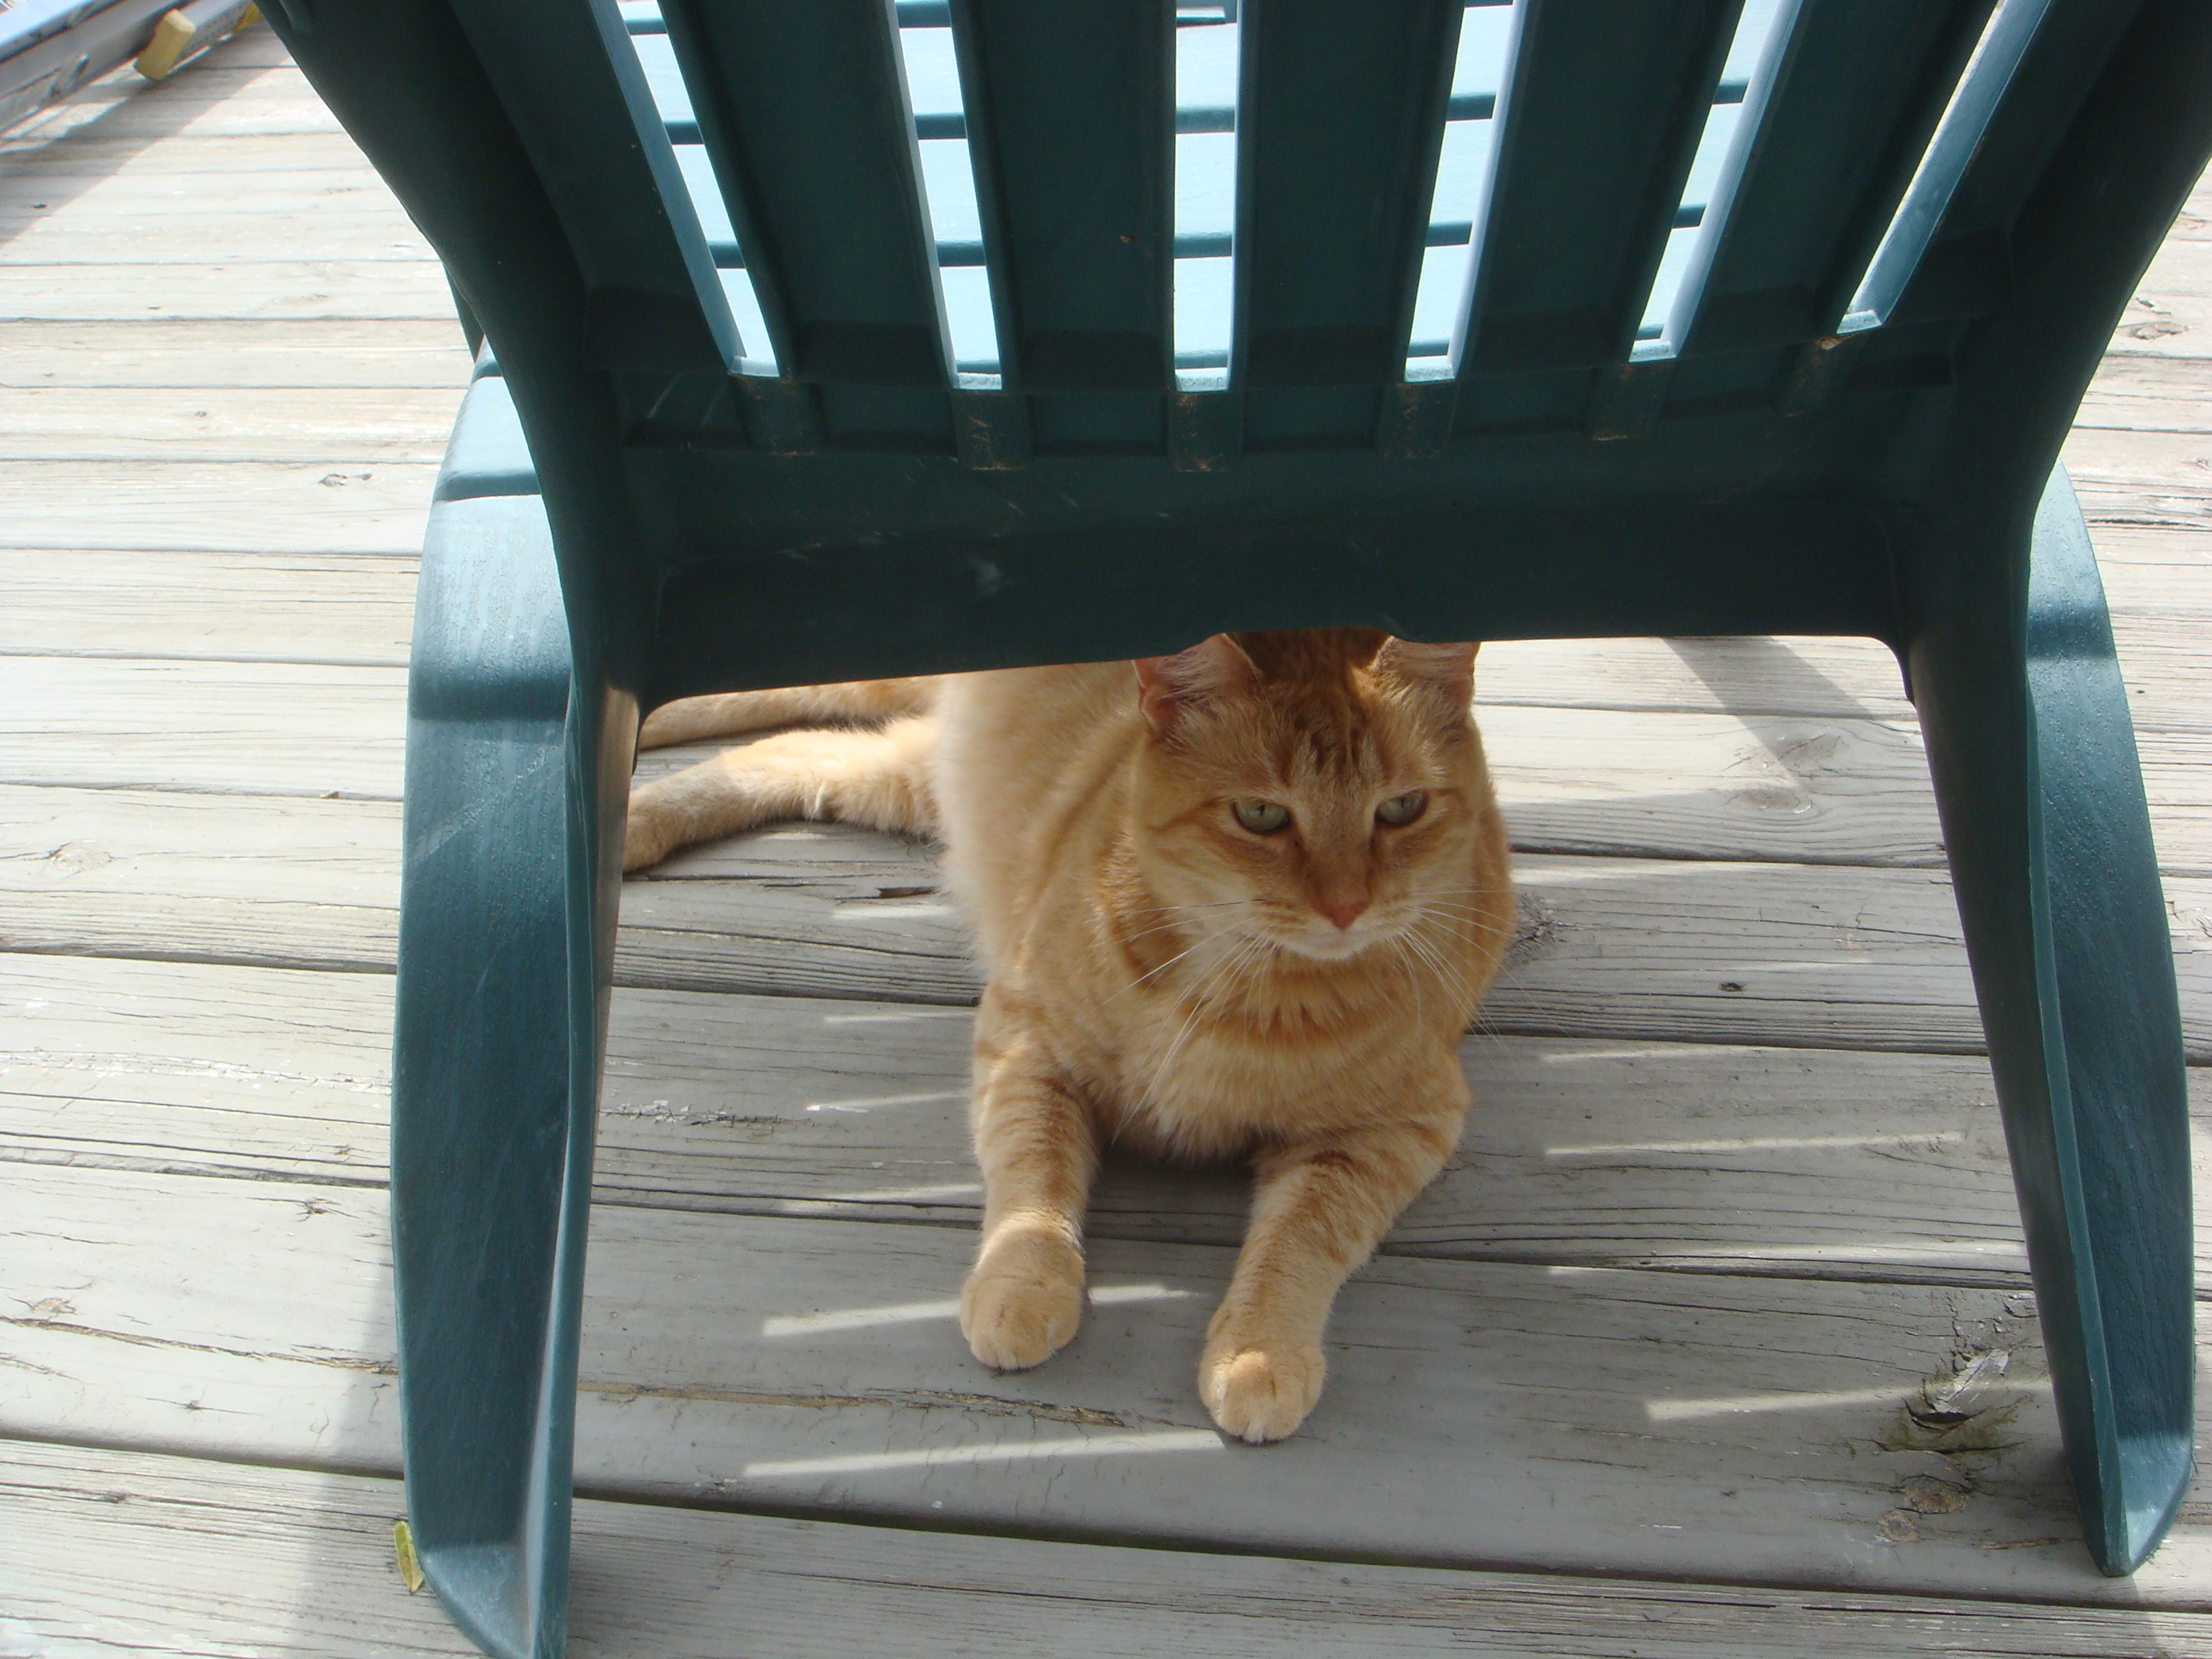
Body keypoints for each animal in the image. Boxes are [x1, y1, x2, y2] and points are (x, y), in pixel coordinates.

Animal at [624, 628, 1515, 1442]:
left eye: (1401, 809)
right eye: (1261, 815)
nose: (1346, 907)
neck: (1245, 990)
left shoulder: (1395, 1129)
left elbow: (1302, 1238)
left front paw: (1261, 1354)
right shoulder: (1026, 1042)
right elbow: (1033, 1176)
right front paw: (1025, 1286)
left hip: (914, 780)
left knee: (805, 750)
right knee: (780, 722)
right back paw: (641, 787)